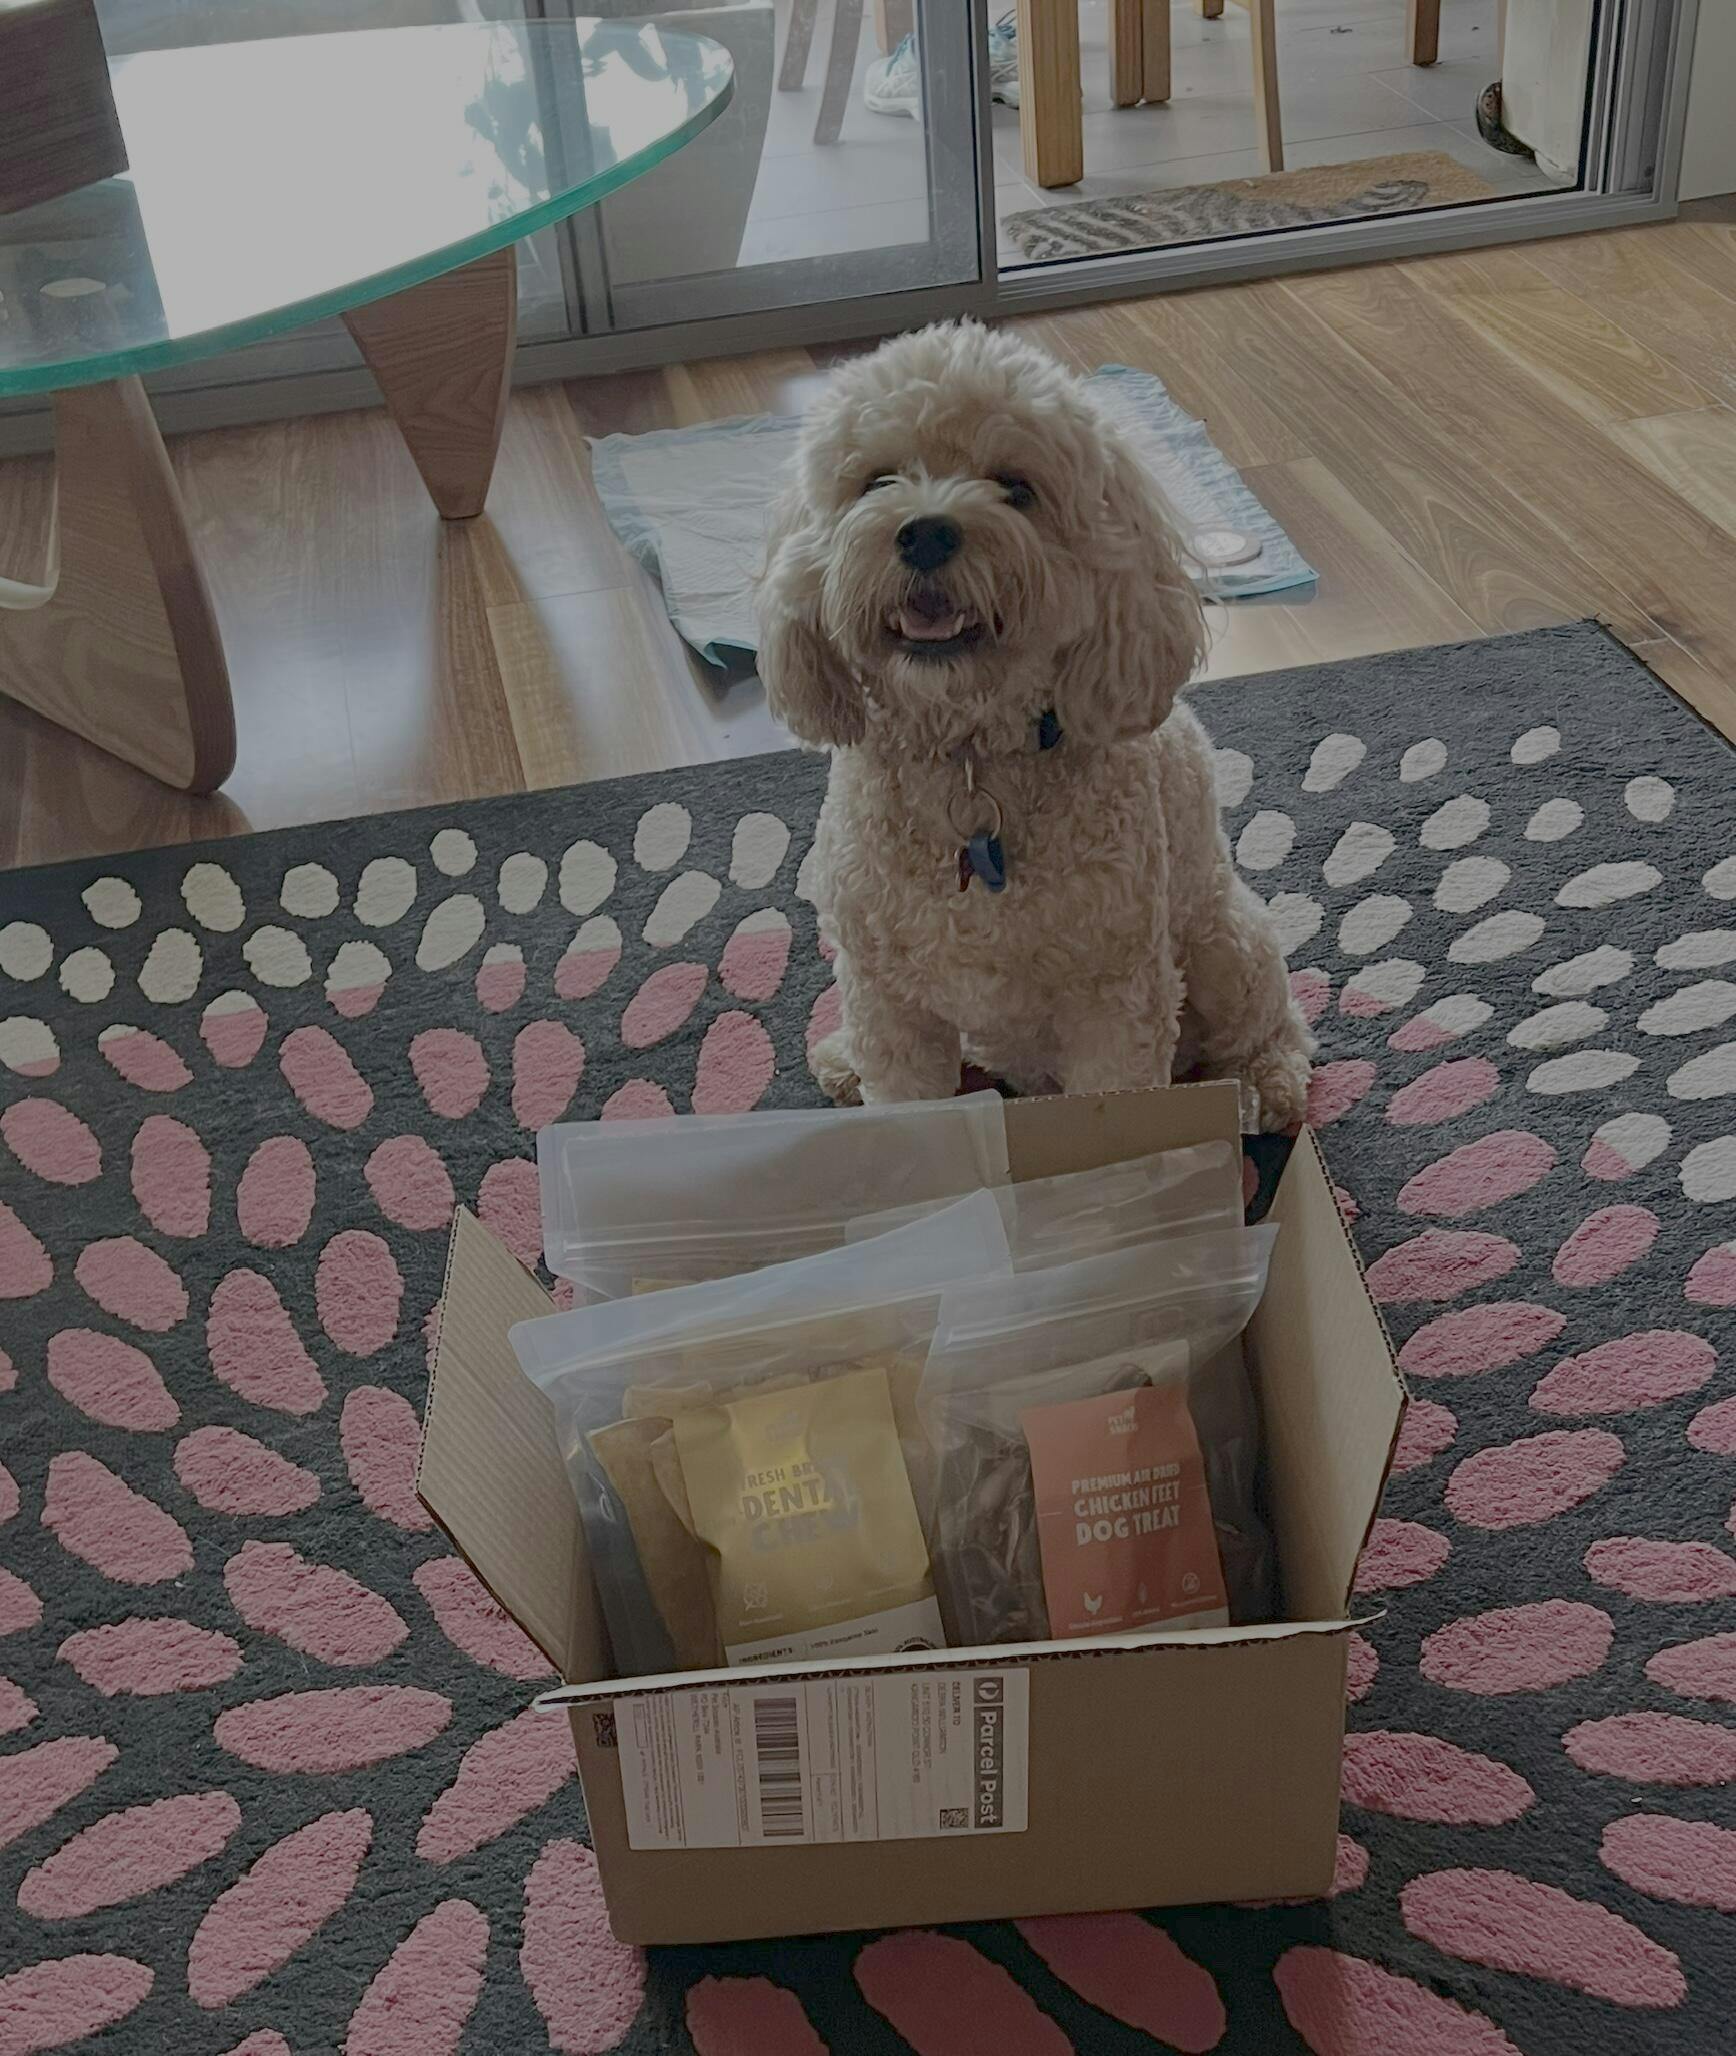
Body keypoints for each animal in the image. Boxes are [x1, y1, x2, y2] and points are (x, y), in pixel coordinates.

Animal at [756, 321, 1313, 1129]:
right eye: (877, 481)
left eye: (1016, 488)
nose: (925, 533)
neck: (970, 754)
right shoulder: (889, 1000)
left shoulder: (1113, 998)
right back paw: (841, 1060)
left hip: (1224, 943)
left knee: (1274, 1019)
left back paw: (1264, 1083)